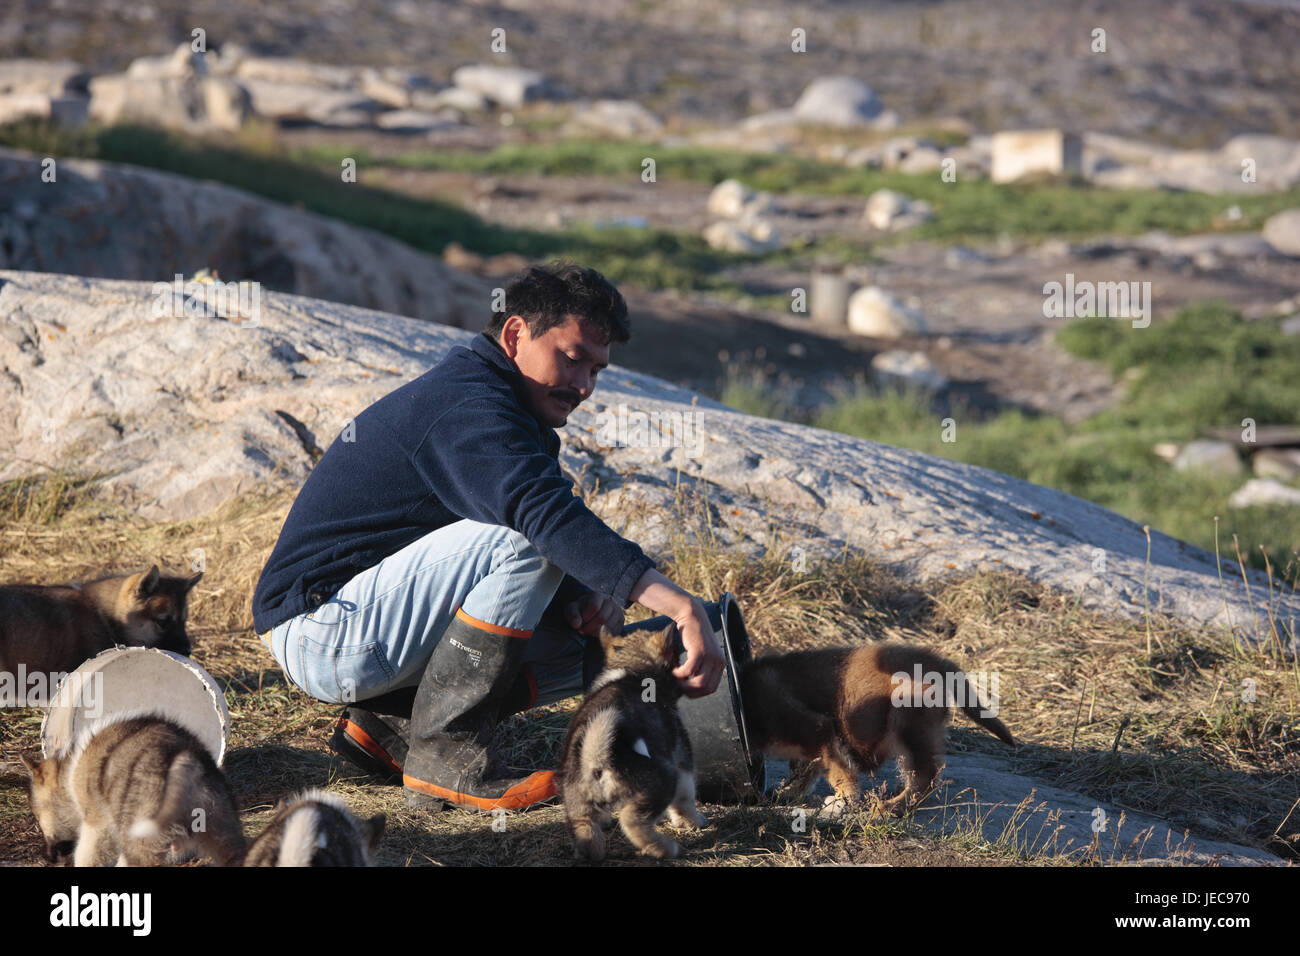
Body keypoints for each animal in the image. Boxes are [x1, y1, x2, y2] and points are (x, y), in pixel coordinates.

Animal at [743, 642, 1013, 816]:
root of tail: (936, 660)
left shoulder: (816, 728)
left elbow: (838, 770)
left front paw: (843, 799)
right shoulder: (809, 741)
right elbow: (806, 770)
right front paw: (788, 793)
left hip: (907, 723)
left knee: (924, 776)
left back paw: (892, 807)